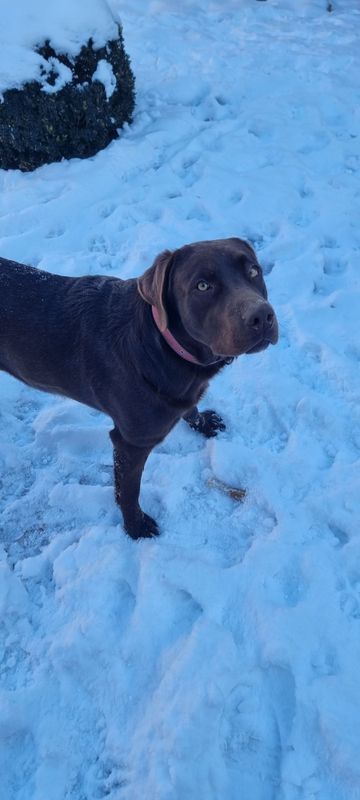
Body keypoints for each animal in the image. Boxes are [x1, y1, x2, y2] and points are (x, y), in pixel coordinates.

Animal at [0, 238, 278, 536]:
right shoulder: (131, 442)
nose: (262, 316)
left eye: (253, 271)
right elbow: (129, 491)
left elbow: (190, 408)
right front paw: (136, 526)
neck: (161, 346)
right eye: (203, 286)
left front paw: (203, 422)